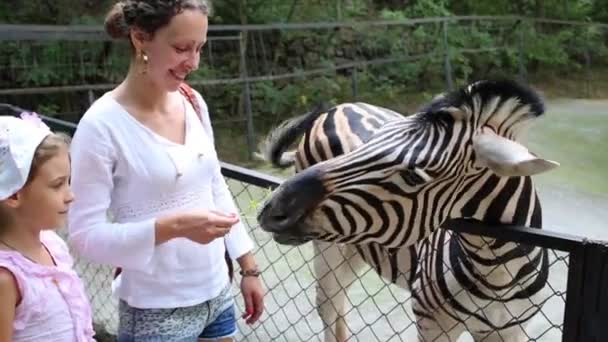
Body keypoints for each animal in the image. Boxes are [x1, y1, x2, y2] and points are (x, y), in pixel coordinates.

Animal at [256, 79, 560, 340]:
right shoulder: (431, 322)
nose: (269, 209)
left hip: (354, 246)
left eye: (413, 177)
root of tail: (336, 108)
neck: (498, 272)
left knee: (339, 303)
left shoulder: (510, 330)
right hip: (327, 247)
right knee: (328, 305)